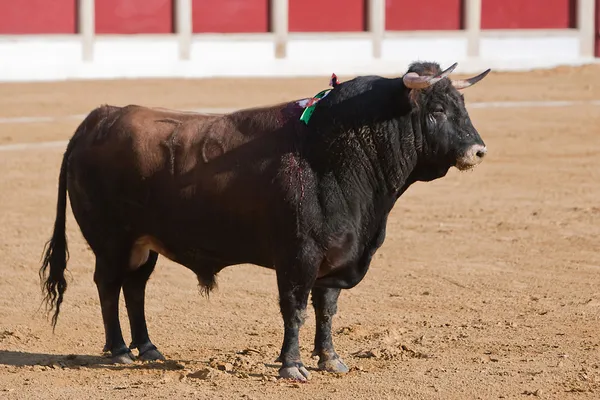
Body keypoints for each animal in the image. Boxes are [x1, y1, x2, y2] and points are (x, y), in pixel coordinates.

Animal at [39, 61, 492, 380]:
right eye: (436, 110)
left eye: (462, 107)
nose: (478, 151)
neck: (342, 150)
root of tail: (98, 119)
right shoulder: (298, 256)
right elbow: (295, 308)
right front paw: (292, 366)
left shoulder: (336, 259)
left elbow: (326, 310)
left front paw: (331, 359)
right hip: (112, 241)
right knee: (108, 285)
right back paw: (118, 350)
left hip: (144, 244)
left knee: (134, 287)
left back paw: (148, 348)